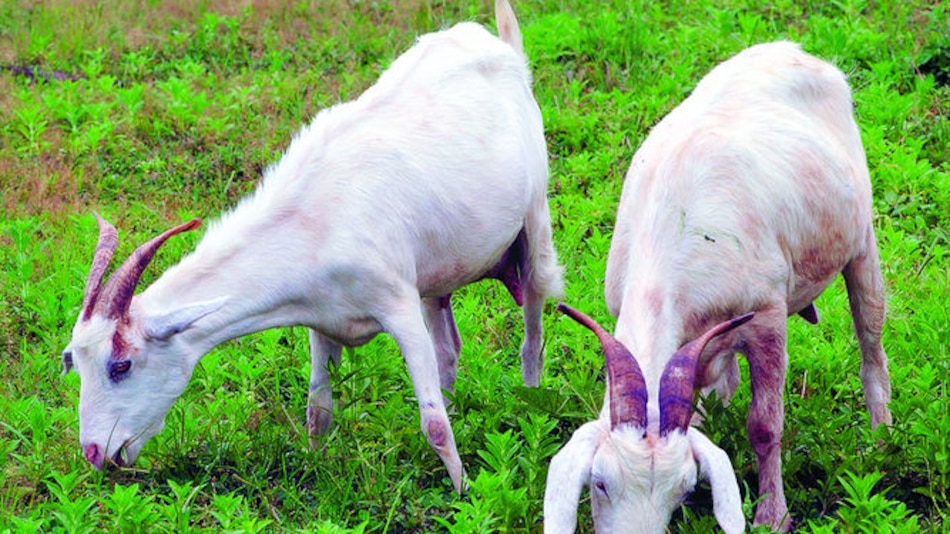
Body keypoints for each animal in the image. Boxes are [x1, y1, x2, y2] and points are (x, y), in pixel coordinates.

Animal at [61, 0, 562, 493]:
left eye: (121, 365)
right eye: (73, 362)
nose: (94, 453)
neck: (316, 220)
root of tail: (499, 46)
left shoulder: (398, 306)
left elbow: (433, 425)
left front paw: (462, 495)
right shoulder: (323, 319)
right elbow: (318, 412)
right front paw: (313, 472)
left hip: (534, 224)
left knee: (531, 332)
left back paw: (531, 409)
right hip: (437, 274)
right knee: (449, 349)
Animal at [544, 41, 892, 532]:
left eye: (682, 489)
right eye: (600, 482)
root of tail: (793, 50)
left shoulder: (766, 318)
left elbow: (765, 426)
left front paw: (772, 514)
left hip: (861, 241)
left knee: (871, 343)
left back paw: (881, 439)